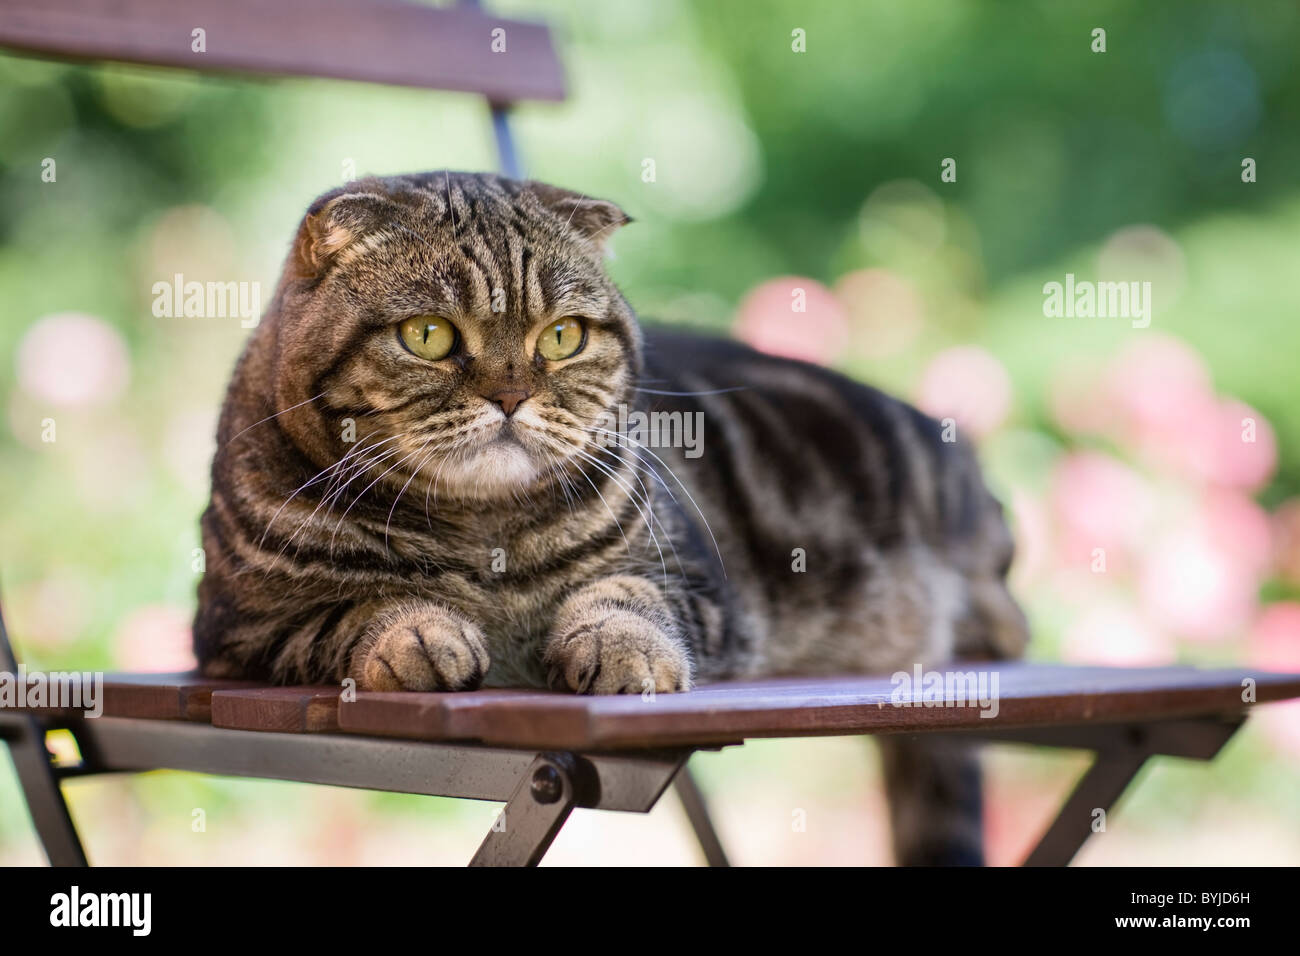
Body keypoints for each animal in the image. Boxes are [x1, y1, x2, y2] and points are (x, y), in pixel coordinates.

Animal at [192, 171, 1024, 868]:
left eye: (563, 336)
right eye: (428, 335)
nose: (511, 395)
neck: (483, 530)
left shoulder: (698, 588)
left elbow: (624, 596)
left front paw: (614, 646)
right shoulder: (236, 633)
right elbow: (347, 613)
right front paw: (415, 634)